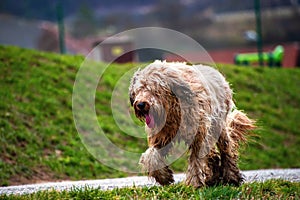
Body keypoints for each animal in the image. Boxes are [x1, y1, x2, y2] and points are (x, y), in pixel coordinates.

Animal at [127, 59, 254, 188]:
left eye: (154, 89)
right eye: (139, 90)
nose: (140, 104)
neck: (173, 109)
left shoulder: (199, 136)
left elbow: (196, 160)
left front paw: (194, 183)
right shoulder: (161, 137)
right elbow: (151, 156)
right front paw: (164, 177)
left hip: (219, 127)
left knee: (227, 150)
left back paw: (232, 177)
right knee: (213, 154)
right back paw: (213, 178)